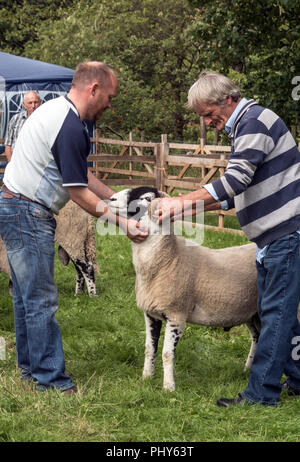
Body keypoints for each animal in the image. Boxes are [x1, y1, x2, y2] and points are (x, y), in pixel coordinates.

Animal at [108, 186, 260, 392]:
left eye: (146, 198)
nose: (111, 199)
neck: (169, 257)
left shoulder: (177, 315)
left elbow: (166, 353)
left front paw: (168, 387)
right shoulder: (151, 314)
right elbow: (149, 348)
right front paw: (146, 378)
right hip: (251, 313)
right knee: (257, 337)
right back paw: (247, 369)